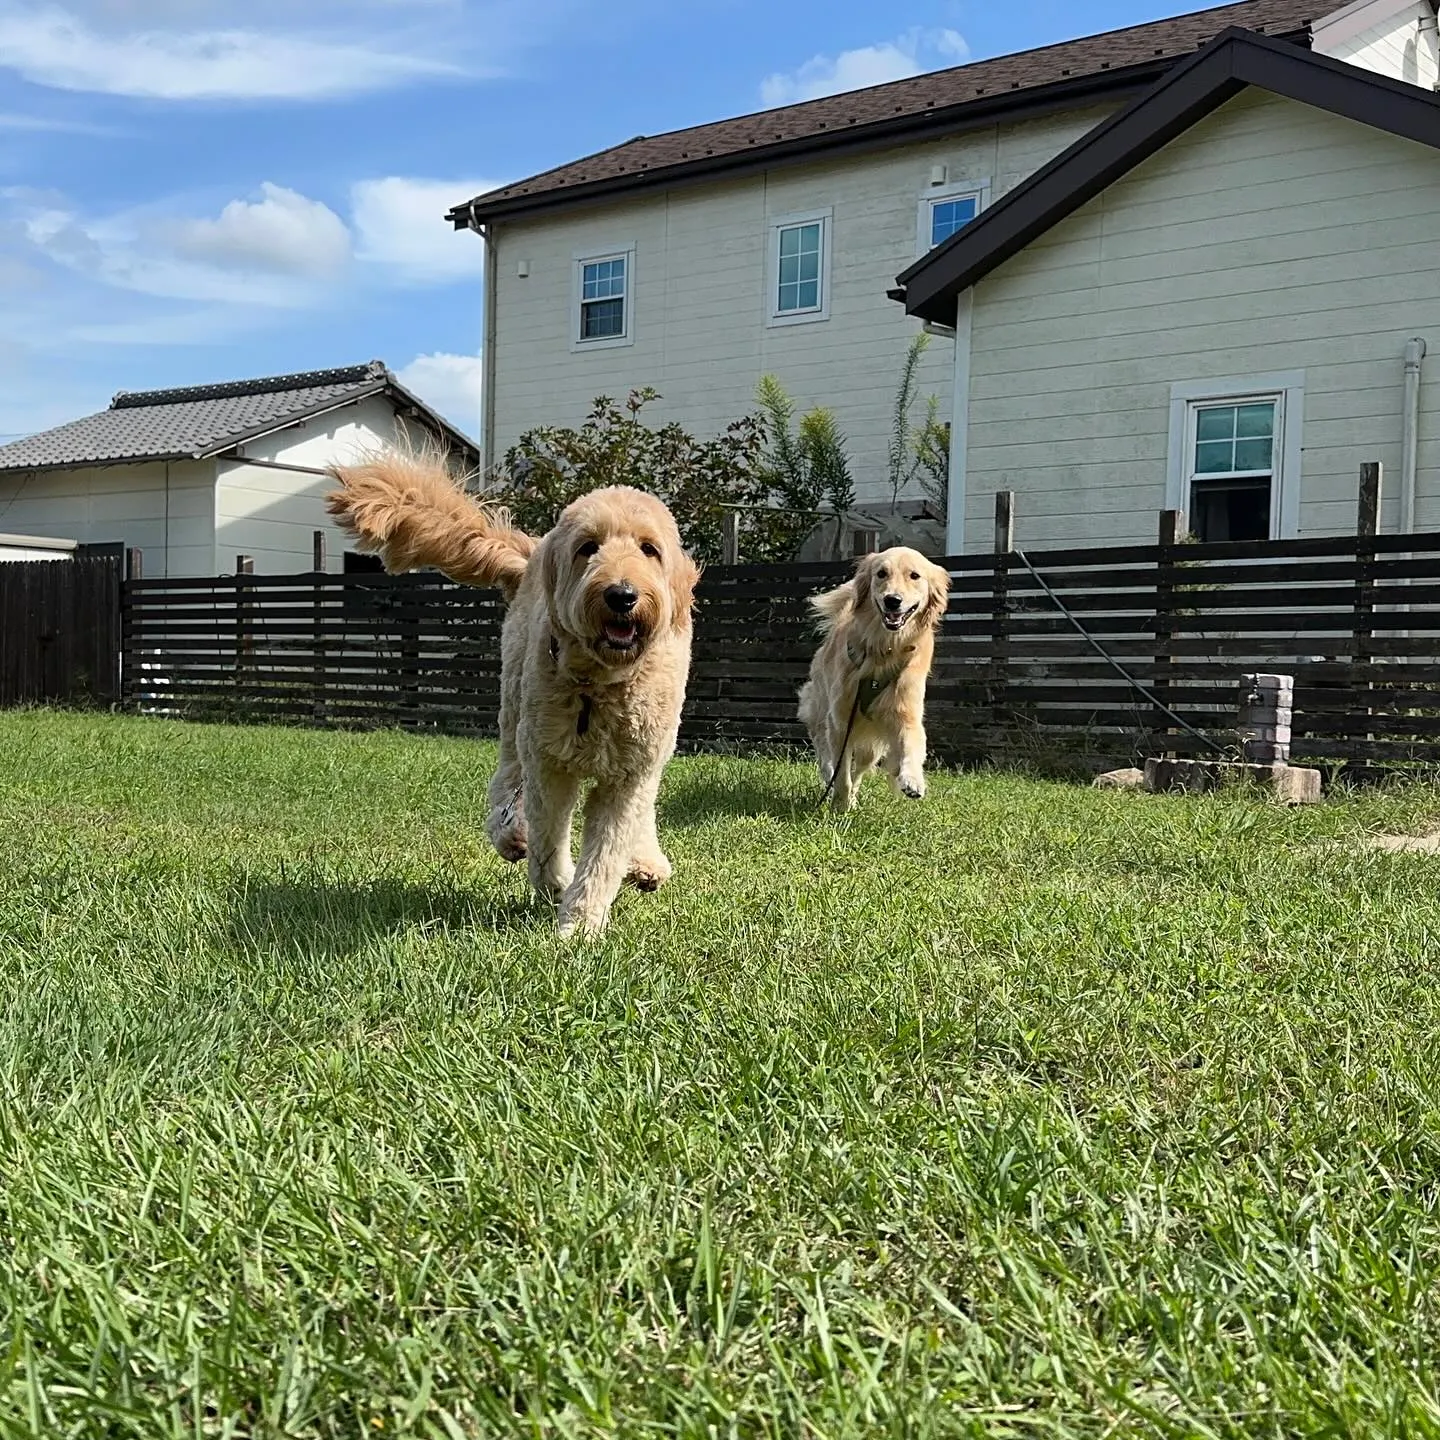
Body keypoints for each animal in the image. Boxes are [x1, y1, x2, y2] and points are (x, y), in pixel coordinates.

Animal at [331, 455, 702, 938]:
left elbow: (606, 852)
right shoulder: (548, 762)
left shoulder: (631, 773)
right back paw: (513, 835)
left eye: (648, 549)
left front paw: (580, 925)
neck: (599, 685)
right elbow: (549, 837)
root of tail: (532, 552)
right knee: (506, 783)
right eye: (588, 548)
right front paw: (558, 887)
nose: (621, 595)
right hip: (514, 708)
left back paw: (645, 862)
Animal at [794, 544, 950, 812]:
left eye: (915, 576)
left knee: (860, 768)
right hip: (820, 705)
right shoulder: (840, 719)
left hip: (871, 746)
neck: (884, 647)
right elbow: (841, 773)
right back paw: (831, 779)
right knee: (823, 746)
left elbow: (913, 744)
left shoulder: (906, 712)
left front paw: (912, 780)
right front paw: (839, 804)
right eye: (881, 573)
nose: (892, 601)